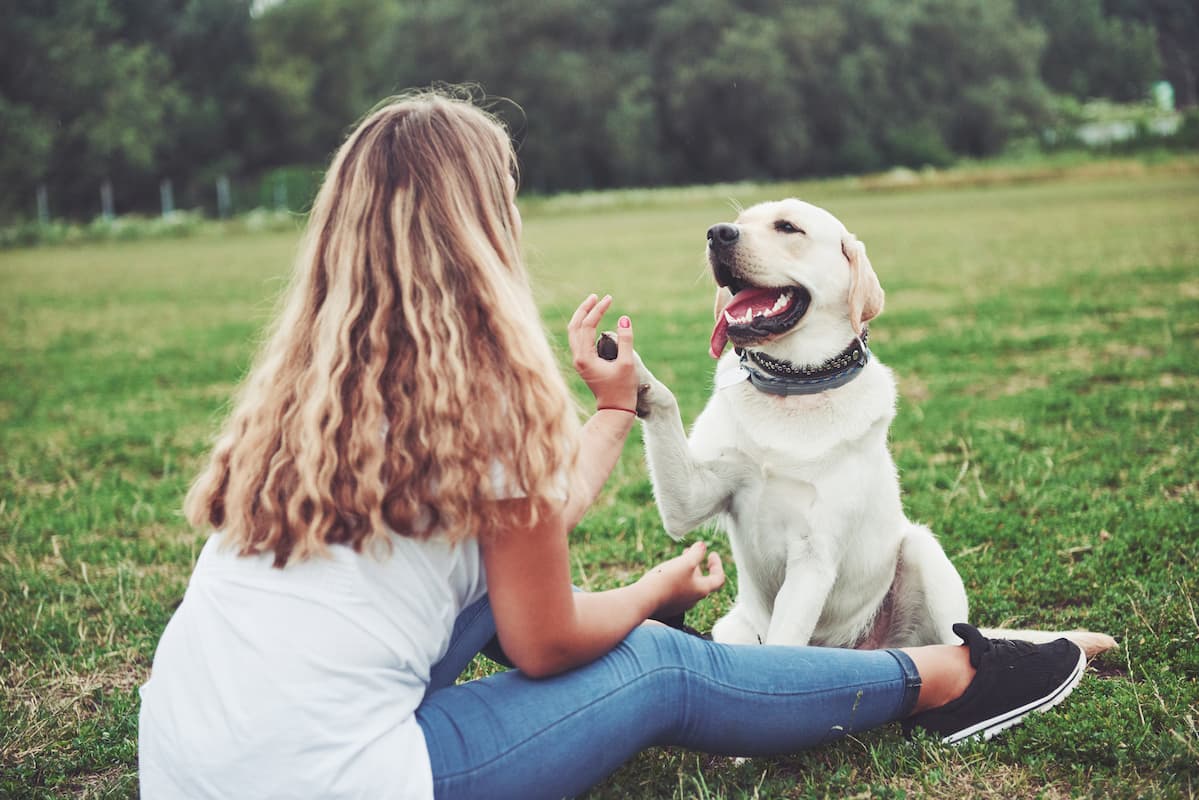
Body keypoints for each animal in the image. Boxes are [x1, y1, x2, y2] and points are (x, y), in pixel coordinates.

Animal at [637, 199, 1112, 657]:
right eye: (740, 221)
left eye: (788, 227)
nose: (717, 233)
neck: (792, 387)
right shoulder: (691, 501)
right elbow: (665, 409)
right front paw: (631, 369)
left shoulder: (813, 557)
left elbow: (783, 644)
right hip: (733, 626)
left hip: (923, 552)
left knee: (955, 644)